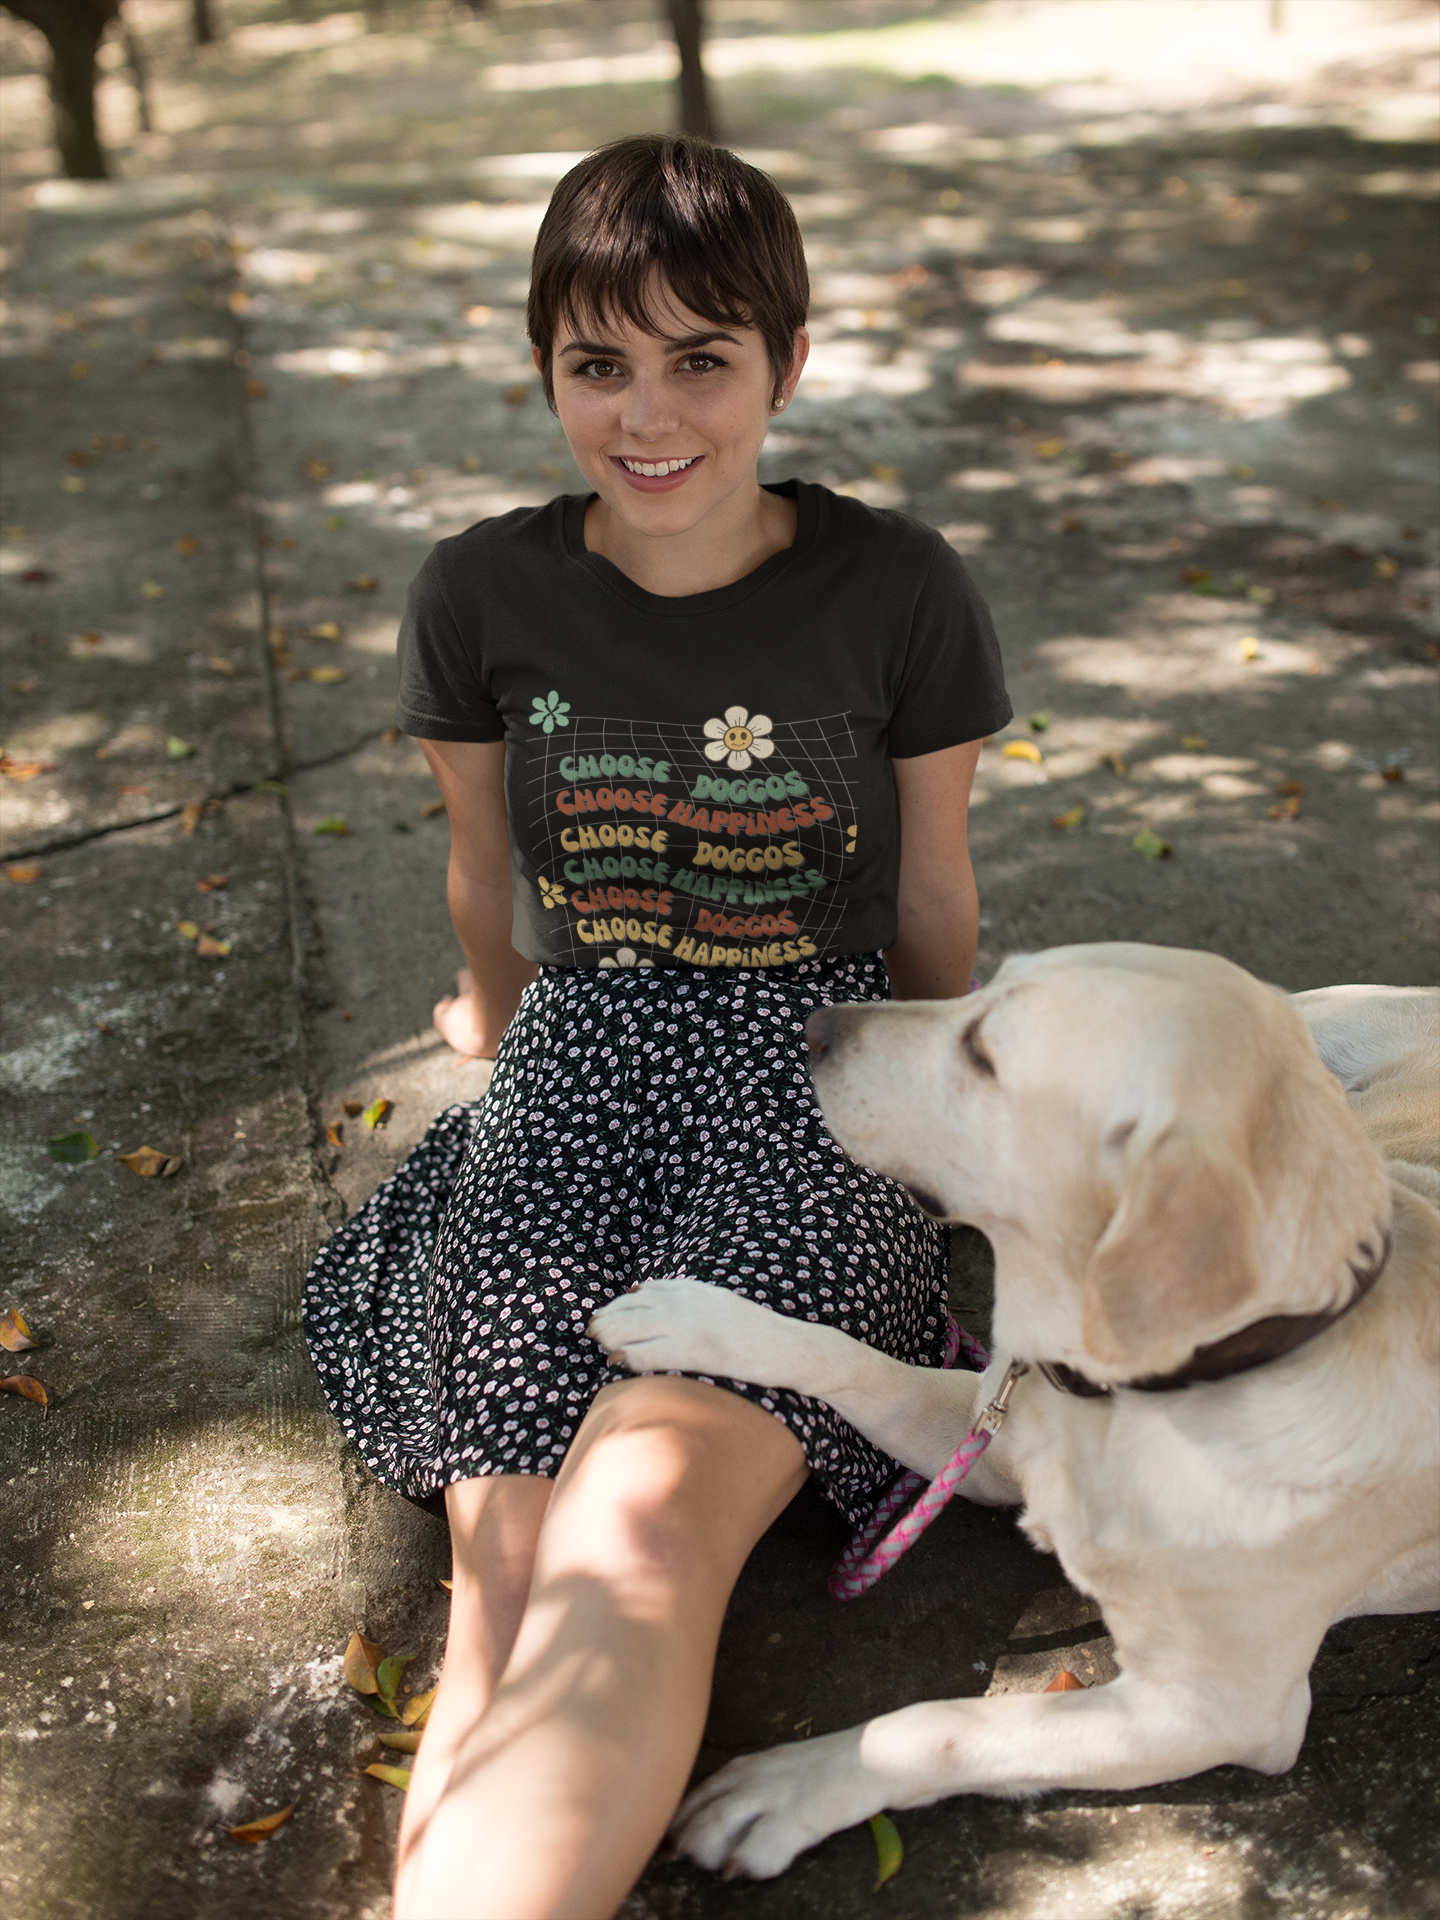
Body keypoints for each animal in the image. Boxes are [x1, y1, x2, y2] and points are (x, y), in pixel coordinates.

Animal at [587, 944, 1440, 1873]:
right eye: (989, 986)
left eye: (987, 1053)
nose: (814, 1025)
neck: (1128, 1402)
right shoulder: (983, 1436)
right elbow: (843, 1358)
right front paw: (693, 1319)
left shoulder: (1209, 1708)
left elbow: (942, 1727)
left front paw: (788, 1788)